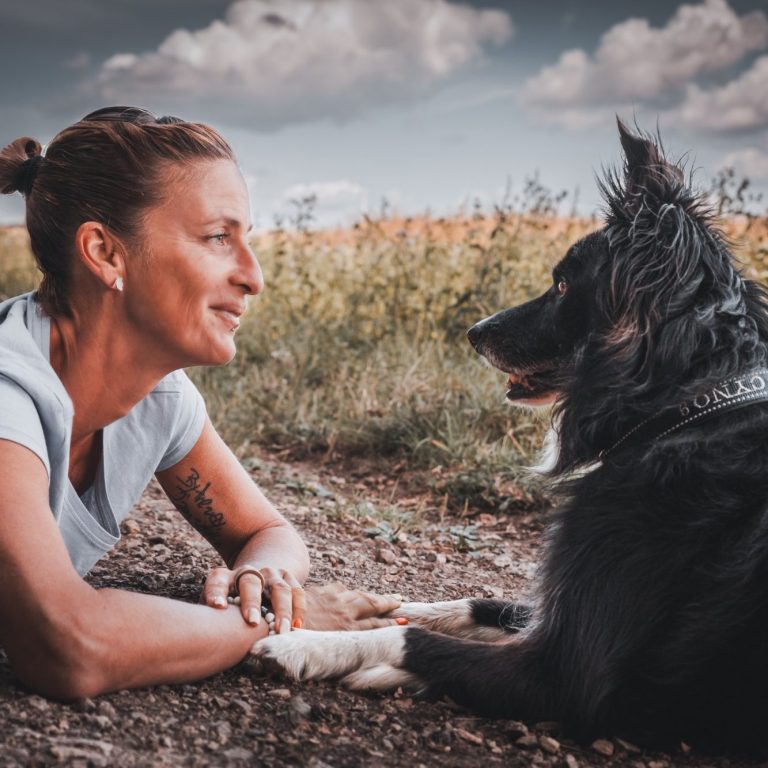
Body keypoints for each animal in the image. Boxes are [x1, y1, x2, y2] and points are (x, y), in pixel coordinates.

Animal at [255, 123, 768, 752]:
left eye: (563, 284)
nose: (473, 332)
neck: (687, 409)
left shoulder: (564, 674)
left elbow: (413, 640)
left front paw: (307, 645)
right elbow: (469, 605)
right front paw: (374, 611)